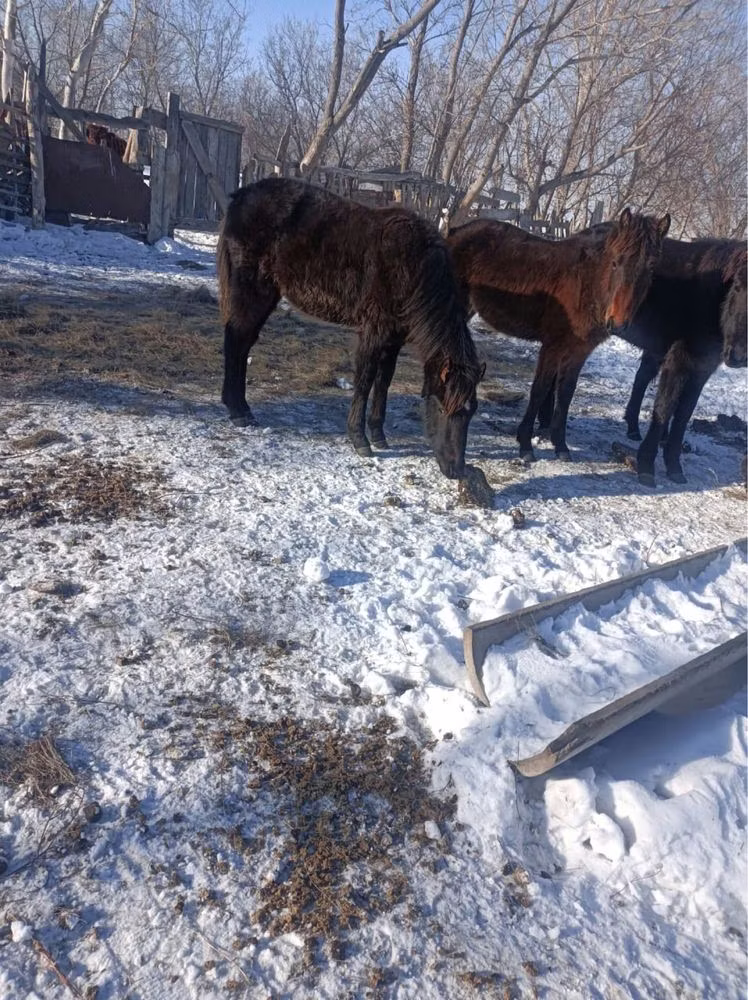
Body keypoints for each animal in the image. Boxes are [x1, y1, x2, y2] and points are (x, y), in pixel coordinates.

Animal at [217, 177, 484, 479]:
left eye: (471, 412)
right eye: (440, 406)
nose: (455, 469)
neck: (412, 266)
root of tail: (242, 195)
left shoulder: (394, 339)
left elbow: (384, 381)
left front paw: (378, 434)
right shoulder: (373, 331)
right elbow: (365, 380)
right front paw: (360, 440)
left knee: (243, 343)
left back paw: (240, 408)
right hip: (253, 290)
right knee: (236, 340)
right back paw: (239, 411)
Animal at [447, 209, 670, 461]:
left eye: (651, 268)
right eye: (616, 262)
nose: (618, 323)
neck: (586, 283)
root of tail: (456, 231)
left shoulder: (579, 352)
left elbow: (565, 393)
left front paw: (560, 445)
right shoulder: (552, 346)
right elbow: (540, 389)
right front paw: (526, 444)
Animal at [617, 240, 747, 485]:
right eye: (737, 287)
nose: (737, 356)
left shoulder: (701, 370)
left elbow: (684, 414)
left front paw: (674, 467)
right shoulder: (678, 363)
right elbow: (665, 407)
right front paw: (646, 466)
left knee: (641, 378)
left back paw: (632, 428)